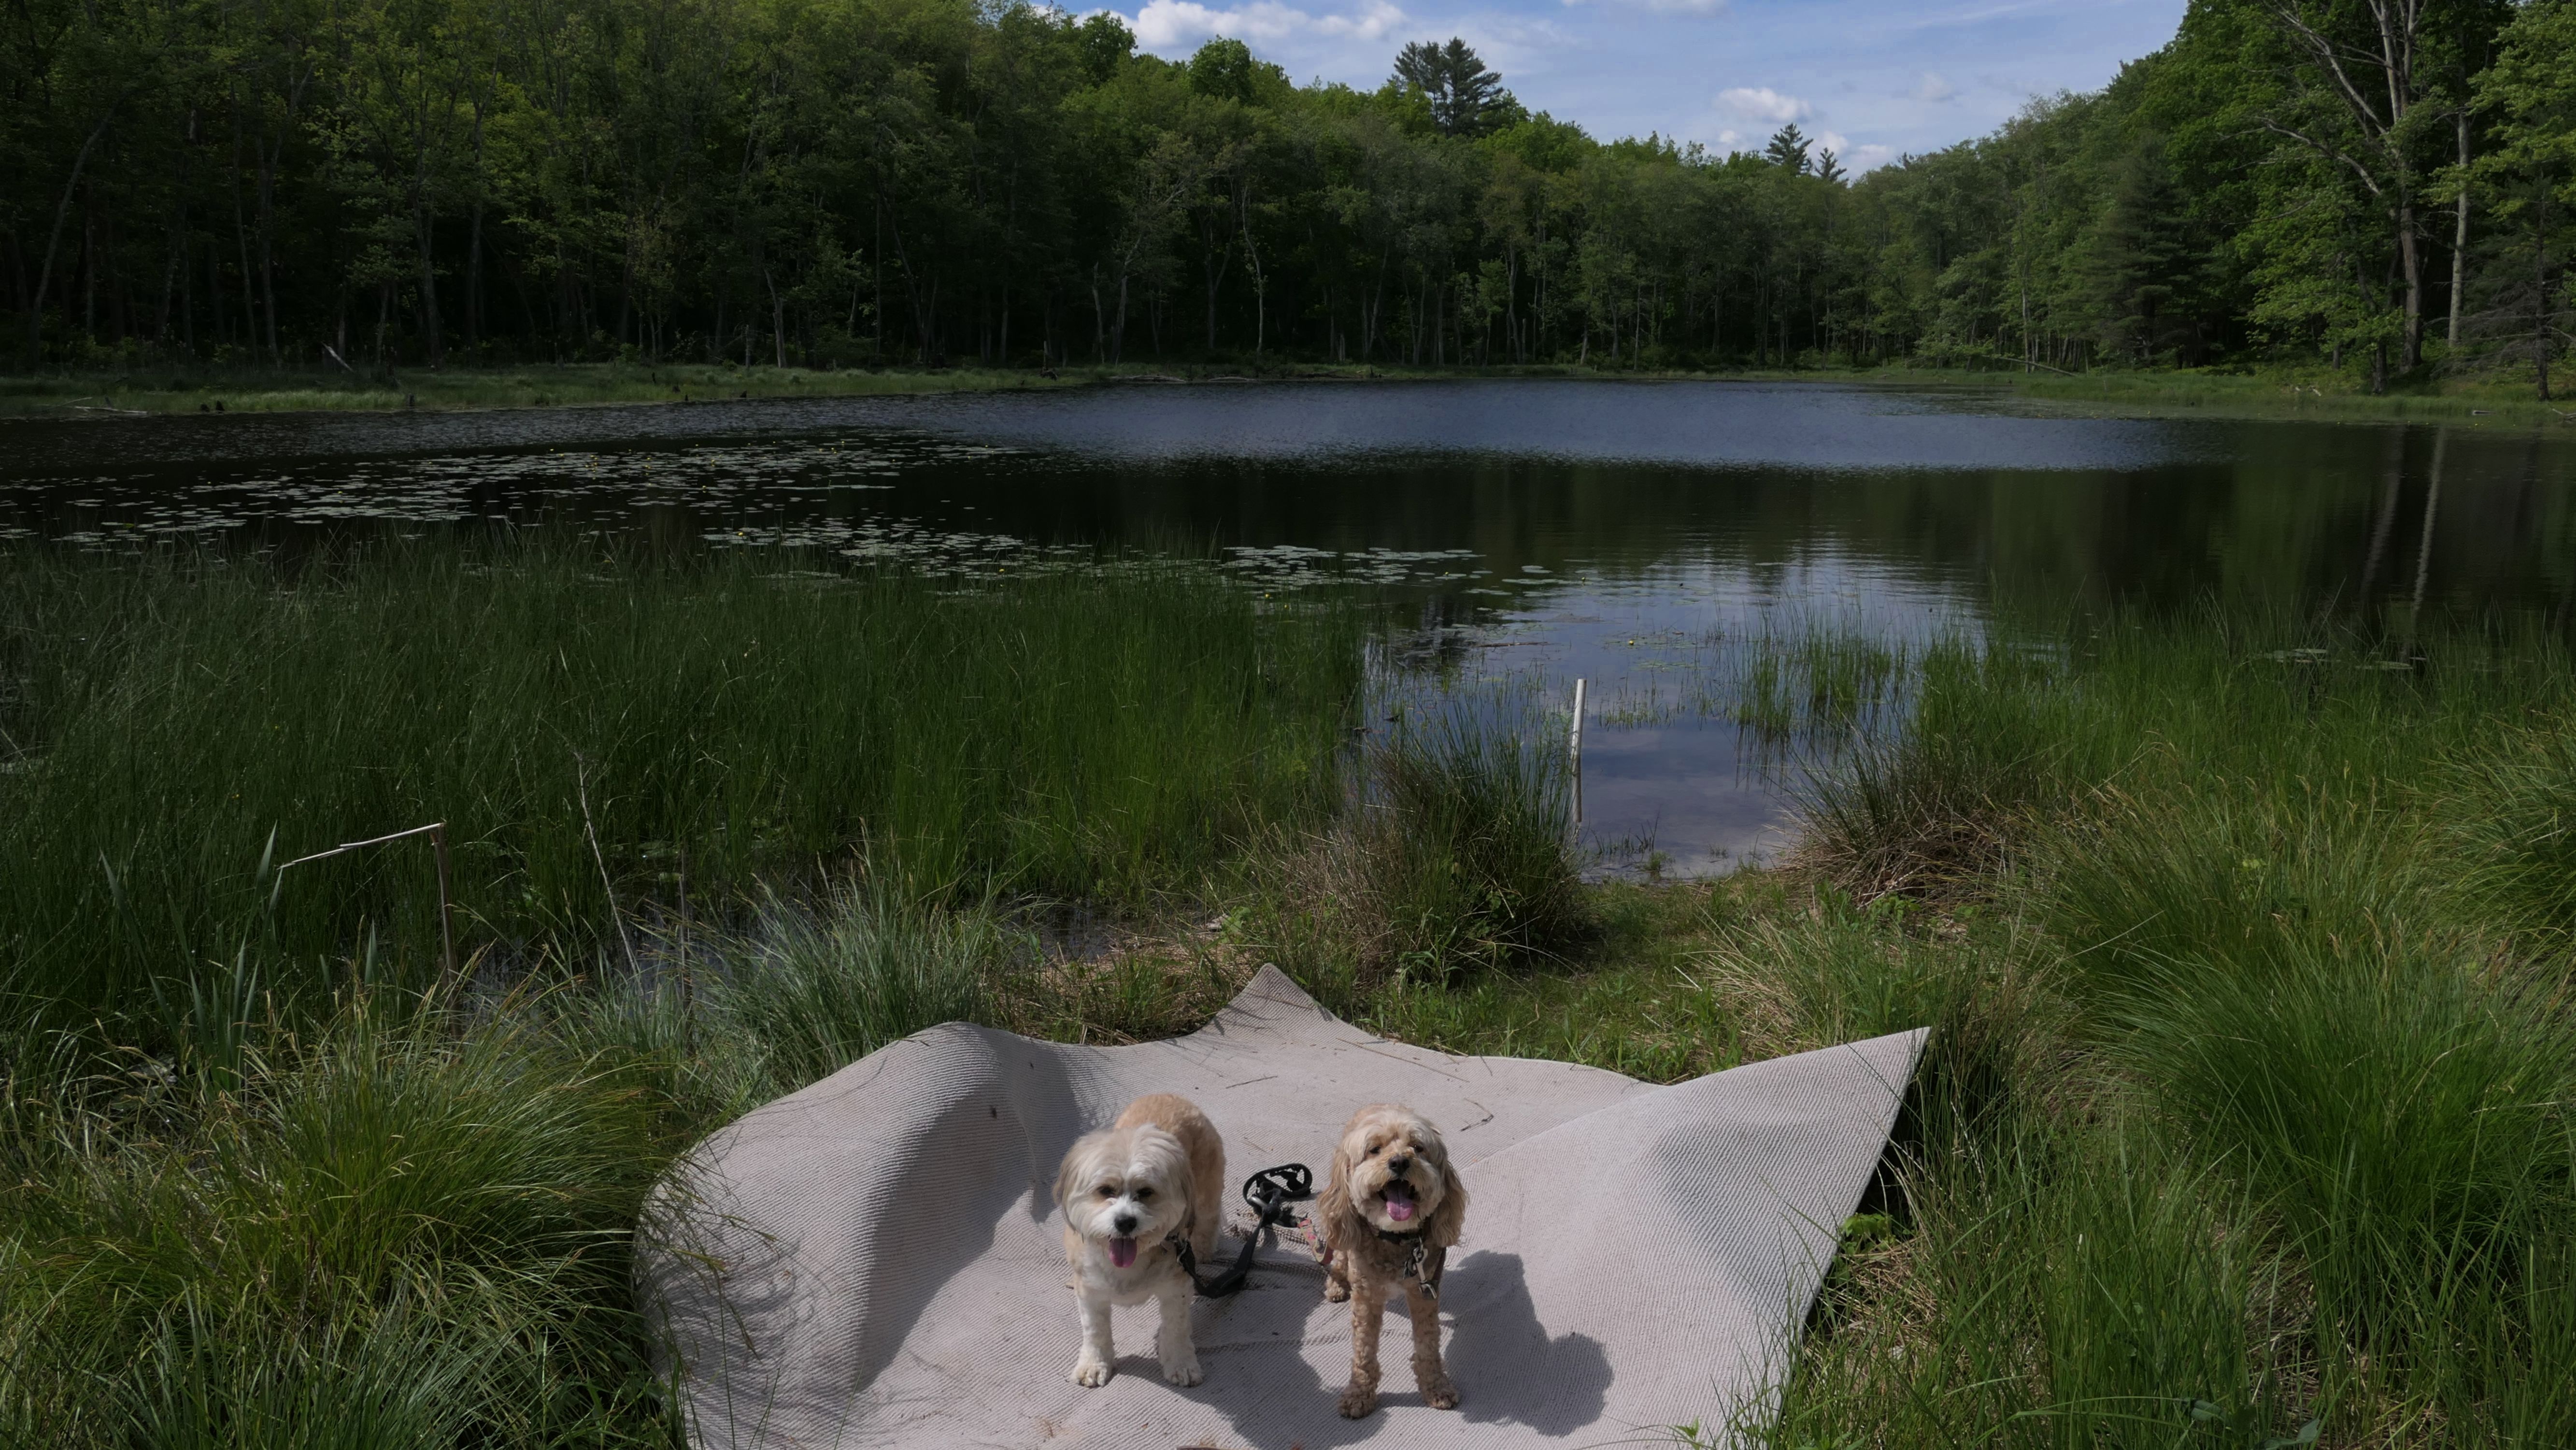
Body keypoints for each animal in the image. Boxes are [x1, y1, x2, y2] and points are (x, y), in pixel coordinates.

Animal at [1054, 1093, 1227, 1388]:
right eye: (1105, 1191)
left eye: (1146, 1192)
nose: (1125, 1222)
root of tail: (1171, 1096)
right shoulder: (1090, 1291)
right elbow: (1095, 1331)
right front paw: (1094, 1364)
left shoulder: (1177, 1286)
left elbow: (1176, 1329)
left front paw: (1181, 1363)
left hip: (1206, 1190)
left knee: (1208, 1219)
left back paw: (1204, 1250)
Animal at [1316, 1103, 1469, 1418]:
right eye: (1374, 1150)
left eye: (1418, 1147)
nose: (1399, 1162)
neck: (1396, 1239)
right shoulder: (1366, 1295)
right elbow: (1364, 1350)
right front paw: (1359, 1393)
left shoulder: (1424, 1291)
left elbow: (1428, 1344)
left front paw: (1436, 1387)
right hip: (1342, 1230)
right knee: (1338, 1255)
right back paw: (1337, 1284)